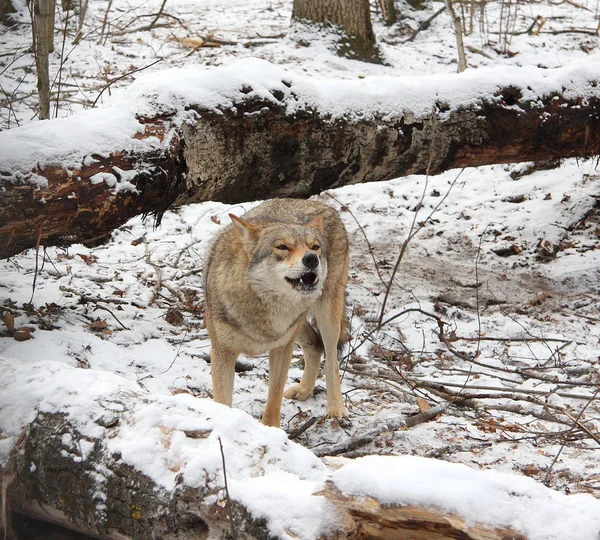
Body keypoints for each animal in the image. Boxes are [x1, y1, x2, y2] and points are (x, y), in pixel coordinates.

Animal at [204, 197, 350, 426]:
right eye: (282, 247)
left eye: (315, 247)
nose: (311, 258)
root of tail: (326, 206)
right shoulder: (222, 352)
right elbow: (222, 401)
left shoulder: (282, 349)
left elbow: (273, 400)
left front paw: (271, 430)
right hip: (298, 327)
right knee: (315, 345)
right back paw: (304, 391)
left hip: (326, 318)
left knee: (332, 359)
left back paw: (336, 408)